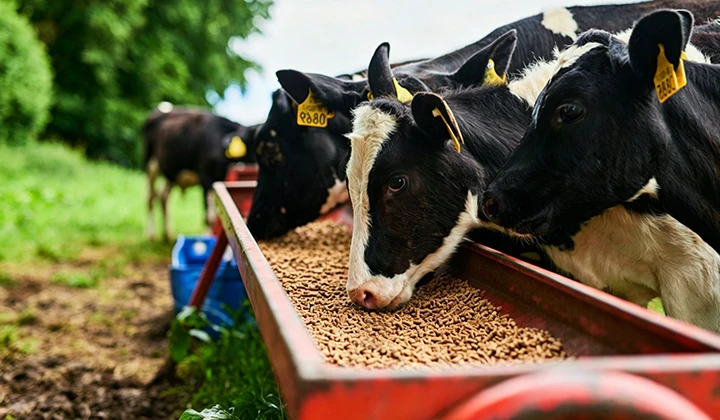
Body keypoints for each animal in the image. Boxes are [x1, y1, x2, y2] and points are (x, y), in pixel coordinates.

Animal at [143, 104, 259, 242]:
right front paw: (207, 238)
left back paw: (168, 234)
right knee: (150, 199)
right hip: (150, 165)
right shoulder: (206, 178)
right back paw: (151, 235)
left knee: (163, 196)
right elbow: (209, 217)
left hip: (170, 171)